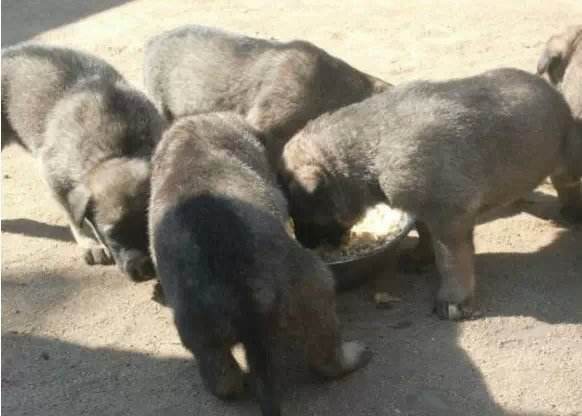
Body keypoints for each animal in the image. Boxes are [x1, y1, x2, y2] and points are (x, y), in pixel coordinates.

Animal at [2, 44, 163, 282]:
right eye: (111, 235)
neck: (114, 151)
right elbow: (74, 217)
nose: (144, 271)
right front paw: (90, 244)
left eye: (148, 229)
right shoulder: (55, 178)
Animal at [148, 113, 372, 416]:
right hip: (313, 285)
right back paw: (352, 356)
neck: (190, 139)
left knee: (220, 374)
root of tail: (245, 295)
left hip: (195, 323)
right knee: (324, 354)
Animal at [280, 69, 580, 322]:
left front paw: (453, 299)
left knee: (567, 181)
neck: (368, 153)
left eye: (302, 214)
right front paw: (419, 256)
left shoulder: (450, 216)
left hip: (568, 155)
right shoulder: (424, 208)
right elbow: (425, 233)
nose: (305, 245)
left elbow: (450, 259)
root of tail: (556, 97)